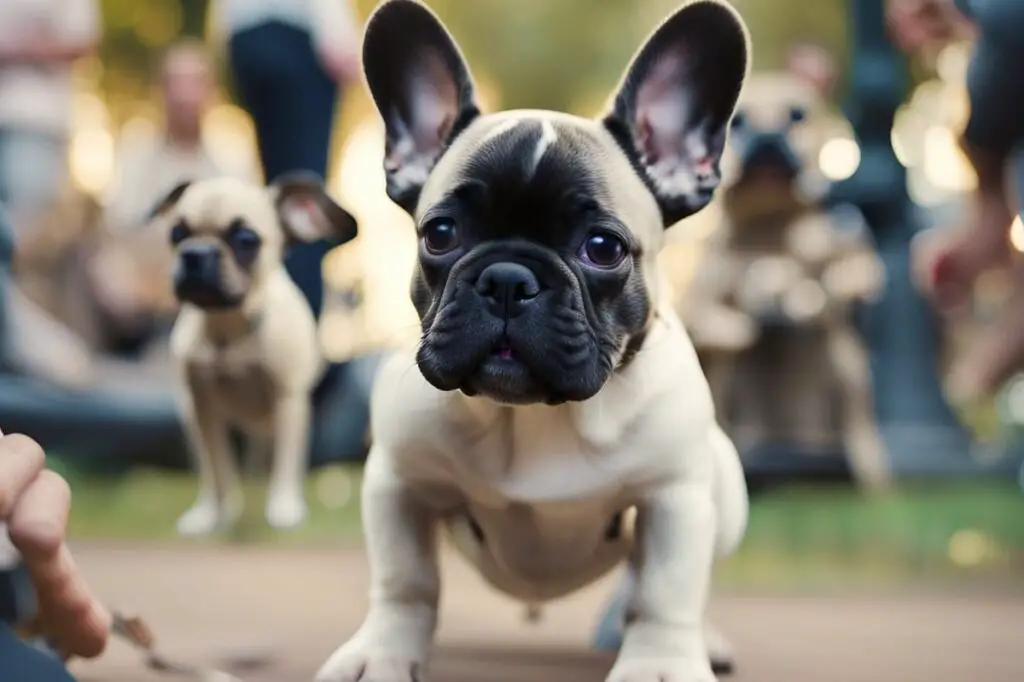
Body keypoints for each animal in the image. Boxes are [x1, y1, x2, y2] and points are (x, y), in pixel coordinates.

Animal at [149, 173, 360, 532]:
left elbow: (286, 461)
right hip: (193, 417)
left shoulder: (287, 399)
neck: (229, 327)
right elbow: (218, 466)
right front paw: (216, 512)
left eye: (246, 239)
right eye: (177, 233)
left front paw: (284, 506)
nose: (195, 253)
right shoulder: (203, 409)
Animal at [317, 1, 753, 679]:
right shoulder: (398, 482)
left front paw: (660, 662)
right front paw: (380, 655)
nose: (506, 279)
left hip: (724, 488)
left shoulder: (676, 497)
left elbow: (665, 591)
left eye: (602, 247)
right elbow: (405, 581)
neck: (534, 418)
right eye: (440, 233)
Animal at [684, 63, 892, 489]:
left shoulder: (841, 251)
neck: (769, 224)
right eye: (738, 122)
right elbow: (710, 317)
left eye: (797, 115)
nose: (767, 136)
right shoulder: (703, 293)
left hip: (847, 369)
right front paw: (741, 325)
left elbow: (856, 270)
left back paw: (869, 467)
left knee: (857, 416)